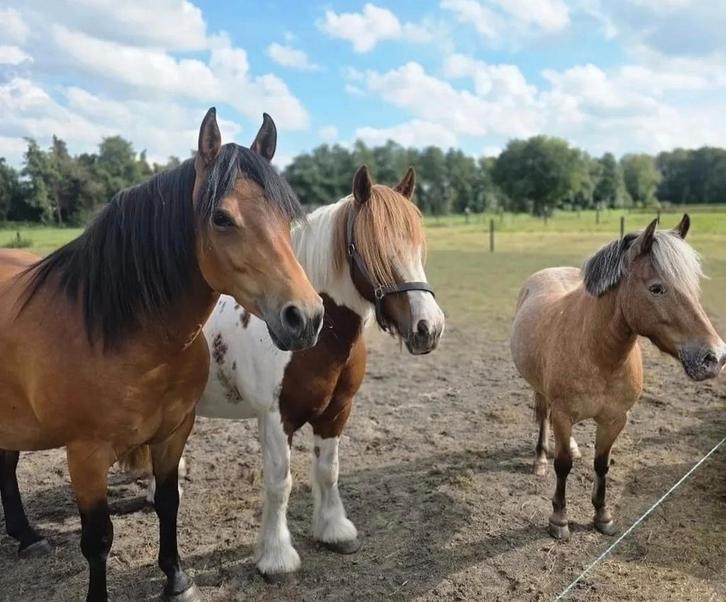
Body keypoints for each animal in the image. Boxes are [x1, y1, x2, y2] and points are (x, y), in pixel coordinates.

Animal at [0, 108, 324, 602]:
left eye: (287, 218)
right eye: (221, 217)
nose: (304, 316)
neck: (124, 336)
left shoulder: (173, 433)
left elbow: (167, 504)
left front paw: (177, 579)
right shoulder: (85, 455)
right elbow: (98, 538)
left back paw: (27, 537)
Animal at [143, 165, 445, 580]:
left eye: (417, 245)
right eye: (369, 249)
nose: (428, 328)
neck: (317, 337)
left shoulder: (336, 412)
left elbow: (328, 470)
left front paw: (335, 531)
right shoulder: (276, 418)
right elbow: (278, 484)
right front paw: (276, 557)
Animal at [511, 215, 725, 541]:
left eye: (693, 286)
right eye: (656, 288)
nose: (714, 357)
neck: (598, 353)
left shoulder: (615, 419)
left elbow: (602, 465)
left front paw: (602, 515)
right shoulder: (563, 414)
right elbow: (563, 465)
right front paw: (559, 519)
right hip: (541, 392)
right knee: (543, 417)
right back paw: (539, 460)